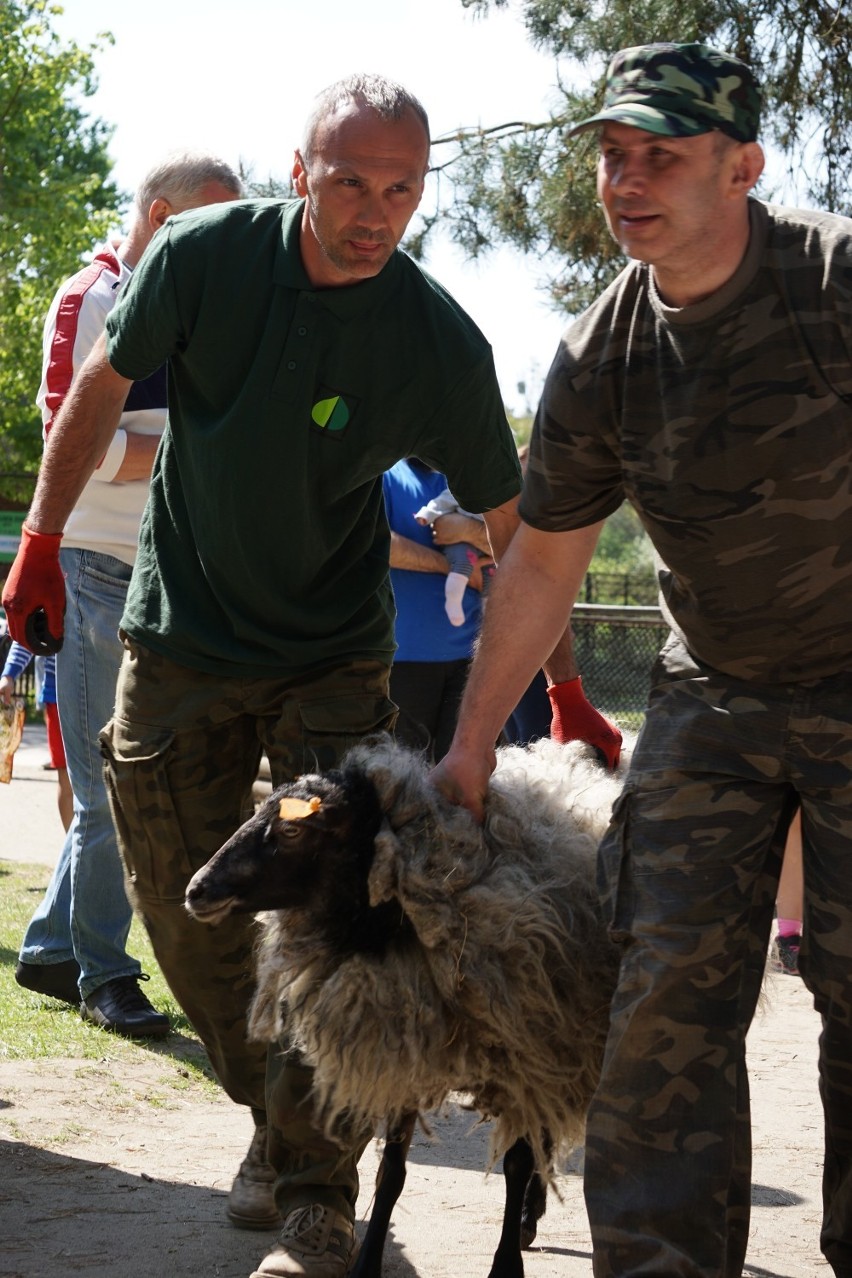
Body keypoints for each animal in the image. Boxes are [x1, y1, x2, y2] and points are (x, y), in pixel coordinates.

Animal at [186, 736, 625, 1272]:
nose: (196, 889)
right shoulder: (407, 1046)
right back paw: (529, 1219)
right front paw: (369, 1260)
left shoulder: (524, 1058)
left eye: (291, 829)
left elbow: (516, 1165)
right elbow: (391, 1172)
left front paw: (504, 1265)